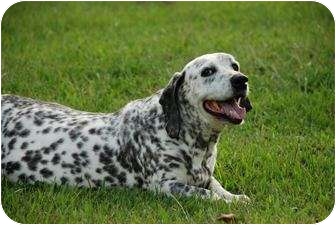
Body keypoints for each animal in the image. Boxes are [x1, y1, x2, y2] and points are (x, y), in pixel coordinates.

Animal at [0, 52, 252, 202]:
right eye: (207, 71)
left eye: (234, 65)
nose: (241, 79)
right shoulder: (165, 185)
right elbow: (207, 194)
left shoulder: (206, 175)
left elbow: (217, 187)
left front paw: (236, 197)